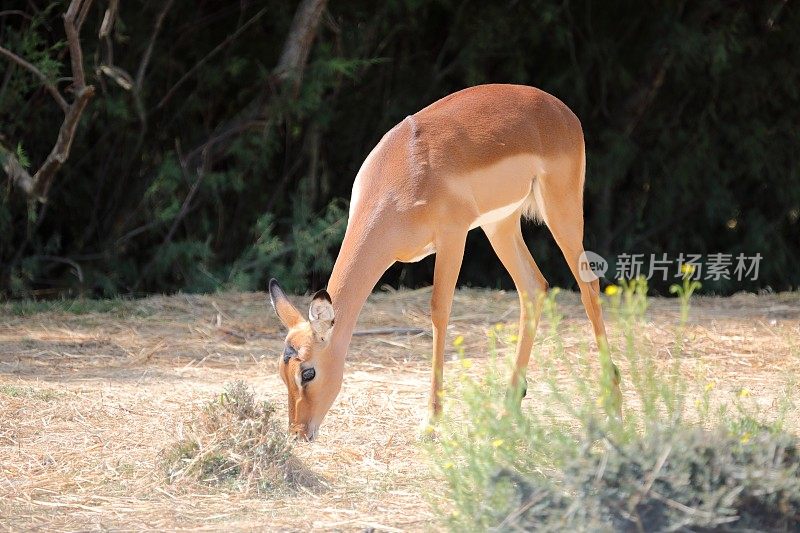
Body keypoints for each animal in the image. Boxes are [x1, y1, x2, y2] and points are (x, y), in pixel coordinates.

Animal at [268, 84, 620, 440]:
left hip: (561, 210)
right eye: (282, 372)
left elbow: (439, 310)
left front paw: (431, 421)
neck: (402, 175)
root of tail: (561, 110)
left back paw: (613, 401)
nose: (298, 432)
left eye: (308, 372)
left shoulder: (453, 237)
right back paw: (508, 408)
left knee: (588, 284)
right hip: (501, 225)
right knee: (534, 288)